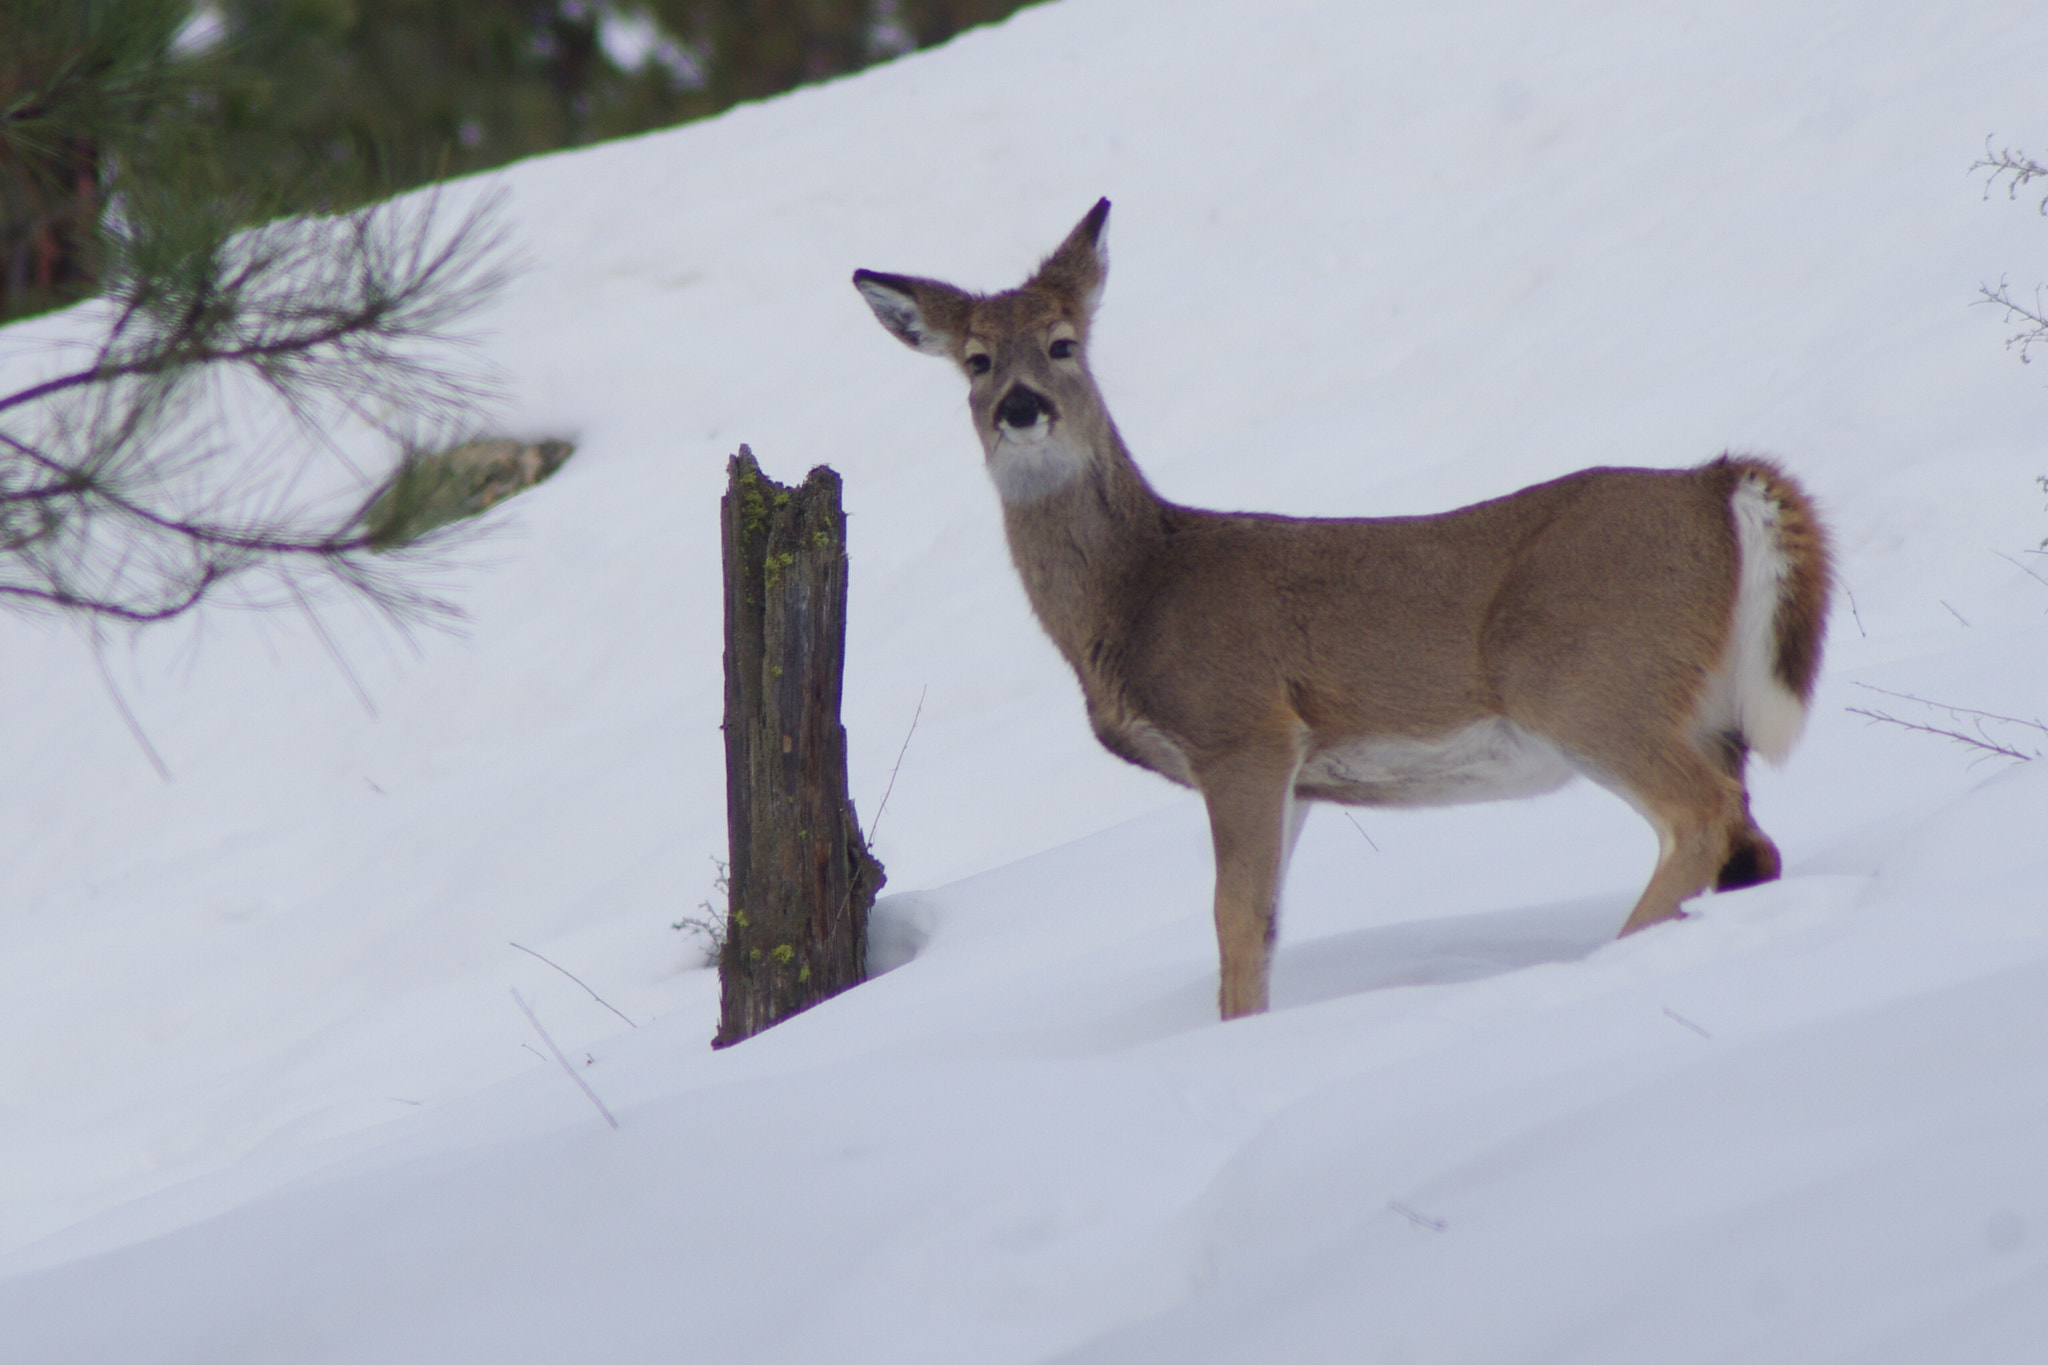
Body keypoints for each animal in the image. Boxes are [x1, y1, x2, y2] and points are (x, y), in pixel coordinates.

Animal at [856, 200, 1835, 1015]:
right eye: (976, 361)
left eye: (1063, 343)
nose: (1021, 408)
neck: (1141, 590)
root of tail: (1715, 484)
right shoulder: (1298, 773)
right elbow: (1264, 927)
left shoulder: (1242, 728)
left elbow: (1235, 922)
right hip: (1699, 708)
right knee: (1752, 841)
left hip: (1587, 677)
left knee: (1702, 815)